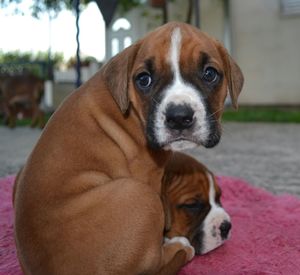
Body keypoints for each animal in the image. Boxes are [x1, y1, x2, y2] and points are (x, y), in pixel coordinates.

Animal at [14, 22, 244, 275]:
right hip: (141, 195)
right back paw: (180, 246)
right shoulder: (149, 177)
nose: (179, 117)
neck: (130, 108)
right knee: (157, 262)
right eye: (144, 79)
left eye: (210, 74)